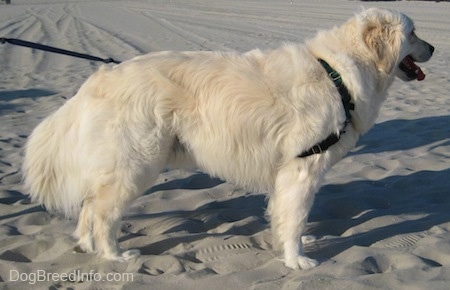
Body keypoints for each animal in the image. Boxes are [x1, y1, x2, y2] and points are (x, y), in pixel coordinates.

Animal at [23, 7, 432, 270]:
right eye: (413, 33)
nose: (433, 48)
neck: (339, 75)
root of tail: (99, 78)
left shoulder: (288, 175)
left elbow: (285, 217)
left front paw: (292, 246)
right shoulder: (302, 169)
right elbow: (296, 219)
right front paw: (297, 260)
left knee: (89, 207)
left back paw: (87, 246)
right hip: (137, 165)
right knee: (102, 213)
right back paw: (113, 255)